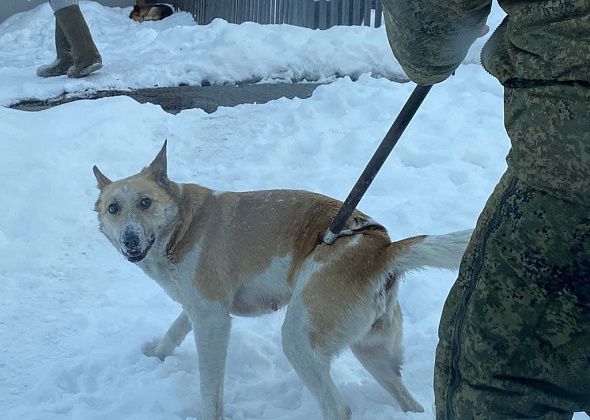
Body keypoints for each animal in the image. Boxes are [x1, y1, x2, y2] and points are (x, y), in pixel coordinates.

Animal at [91, 142, 472, 420]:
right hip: (373, 351)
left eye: (145, 202)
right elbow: (174, 330)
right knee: (410, 402)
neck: (182, 226)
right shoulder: (197, 307)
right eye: (113, 209)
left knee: (339, 408)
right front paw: (157, 354)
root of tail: (382, 248)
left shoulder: (213, 320)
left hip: (299, 341)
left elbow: (210, 388)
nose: (129, 240)